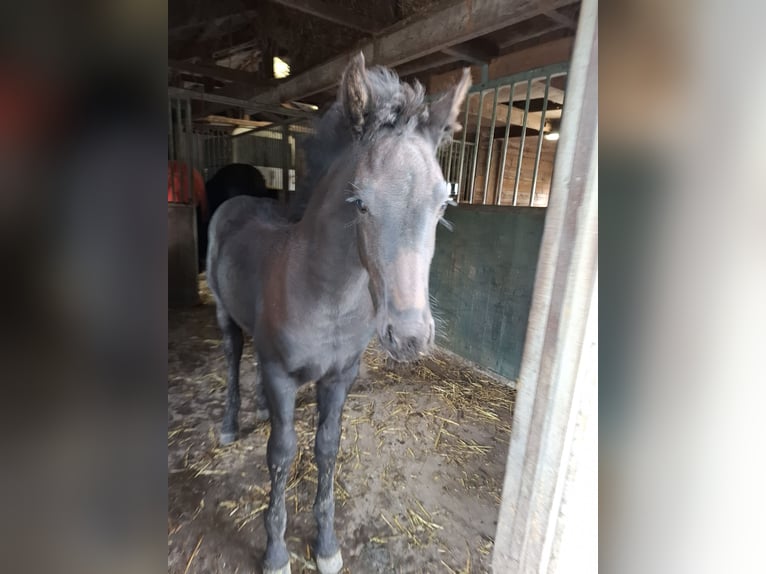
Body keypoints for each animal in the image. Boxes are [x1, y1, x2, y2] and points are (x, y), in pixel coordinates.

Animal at [207, 53, 470, 574]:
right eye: (360, 201)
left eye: (442, 204)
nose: (409, 336)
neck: (326, 296)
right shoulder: (280, 373)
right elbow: (281, 452)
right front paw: (275, 553)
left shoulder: (340, 376)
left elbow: (326, 449)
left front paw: (326, 547)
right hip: (227, 318)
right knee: (231, 359)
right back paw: (228, 425)